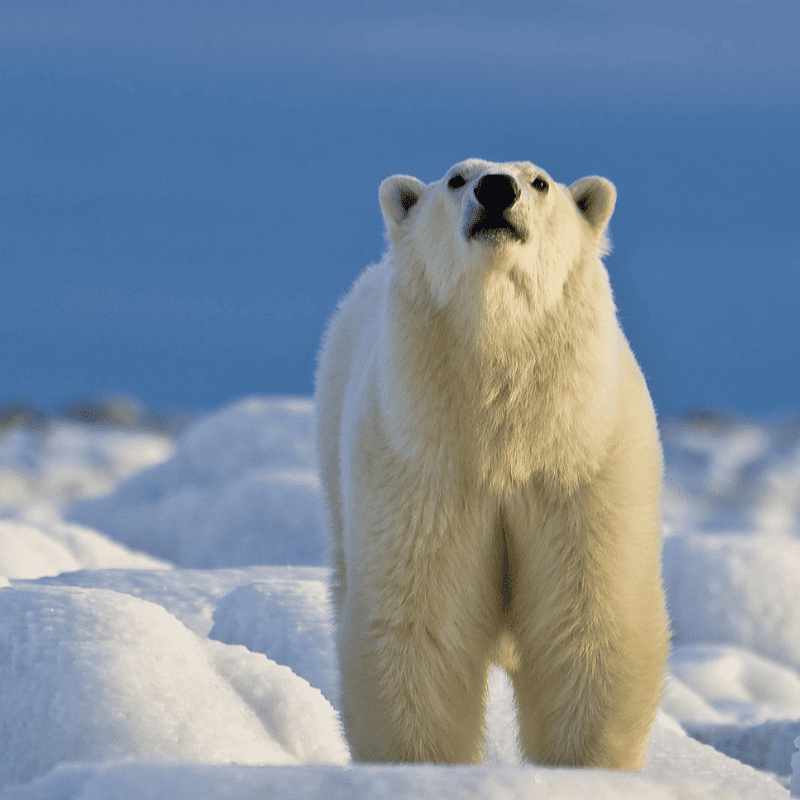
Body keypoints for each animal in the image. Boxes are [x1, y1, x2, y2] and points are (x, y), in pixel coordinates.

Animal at [314, 158, 669, 770]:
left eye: (541, 181)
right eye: (457, 178)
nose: (496, 188)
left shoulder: (578, 466)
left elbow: (590, 620)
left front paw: (582, 768)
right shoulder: (425, 467)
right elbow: (419, 622)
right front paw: (419, 769)